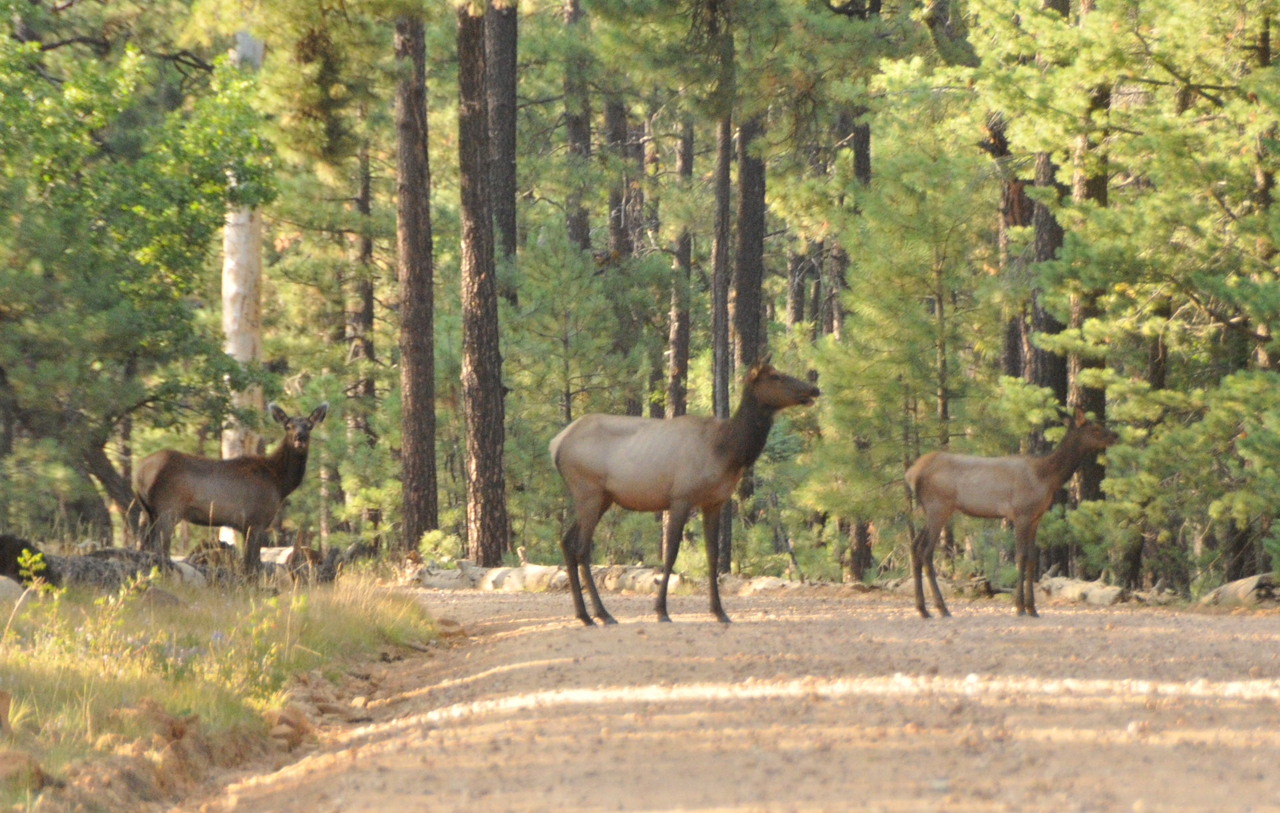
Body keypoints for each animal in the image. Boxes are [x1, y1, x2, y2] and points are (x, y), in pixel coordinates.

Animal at [131, 402, 325, 573]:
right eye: (288, 425)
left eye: (309, 426)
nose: (300, 438)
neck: (279, 483)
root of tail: (139, 471)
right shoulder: (256, 519)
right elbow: (252, 564)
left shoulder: (247, 525)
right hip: (169, 508)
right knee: (160, 548)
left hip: (148, 512)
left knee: (146, 546)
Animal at [550, 358, 819, 627]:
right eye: (775, 376)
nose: (814, 389)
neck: (727, 451)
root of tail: (556, 444)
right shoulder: (681, 497)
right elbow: (670, 554)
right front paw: (661, 610)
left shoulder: (714, 501)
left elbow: (713, 556)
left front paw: (719, 611)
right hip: (588, 491)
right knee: (582, 549)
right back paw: (602, 614)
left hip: (603, 498)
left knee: (566, 541)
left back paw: (584, 614)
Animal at [901, 407, 1121, 617]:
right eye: (1095, 427)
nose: (1116, 435)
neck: (1047, 478)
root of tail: (911, 474)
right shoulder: (1021, 514)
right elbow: (1021, 557)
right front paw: (1020, 607)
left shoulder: (1035, 517)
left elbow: (1031, 559)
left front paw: (1032, 608)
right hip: (938, 507)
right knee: (926, 551)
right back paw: (941, 608)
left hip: (930, 510)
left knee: (914, 545)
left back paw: (923, 609)